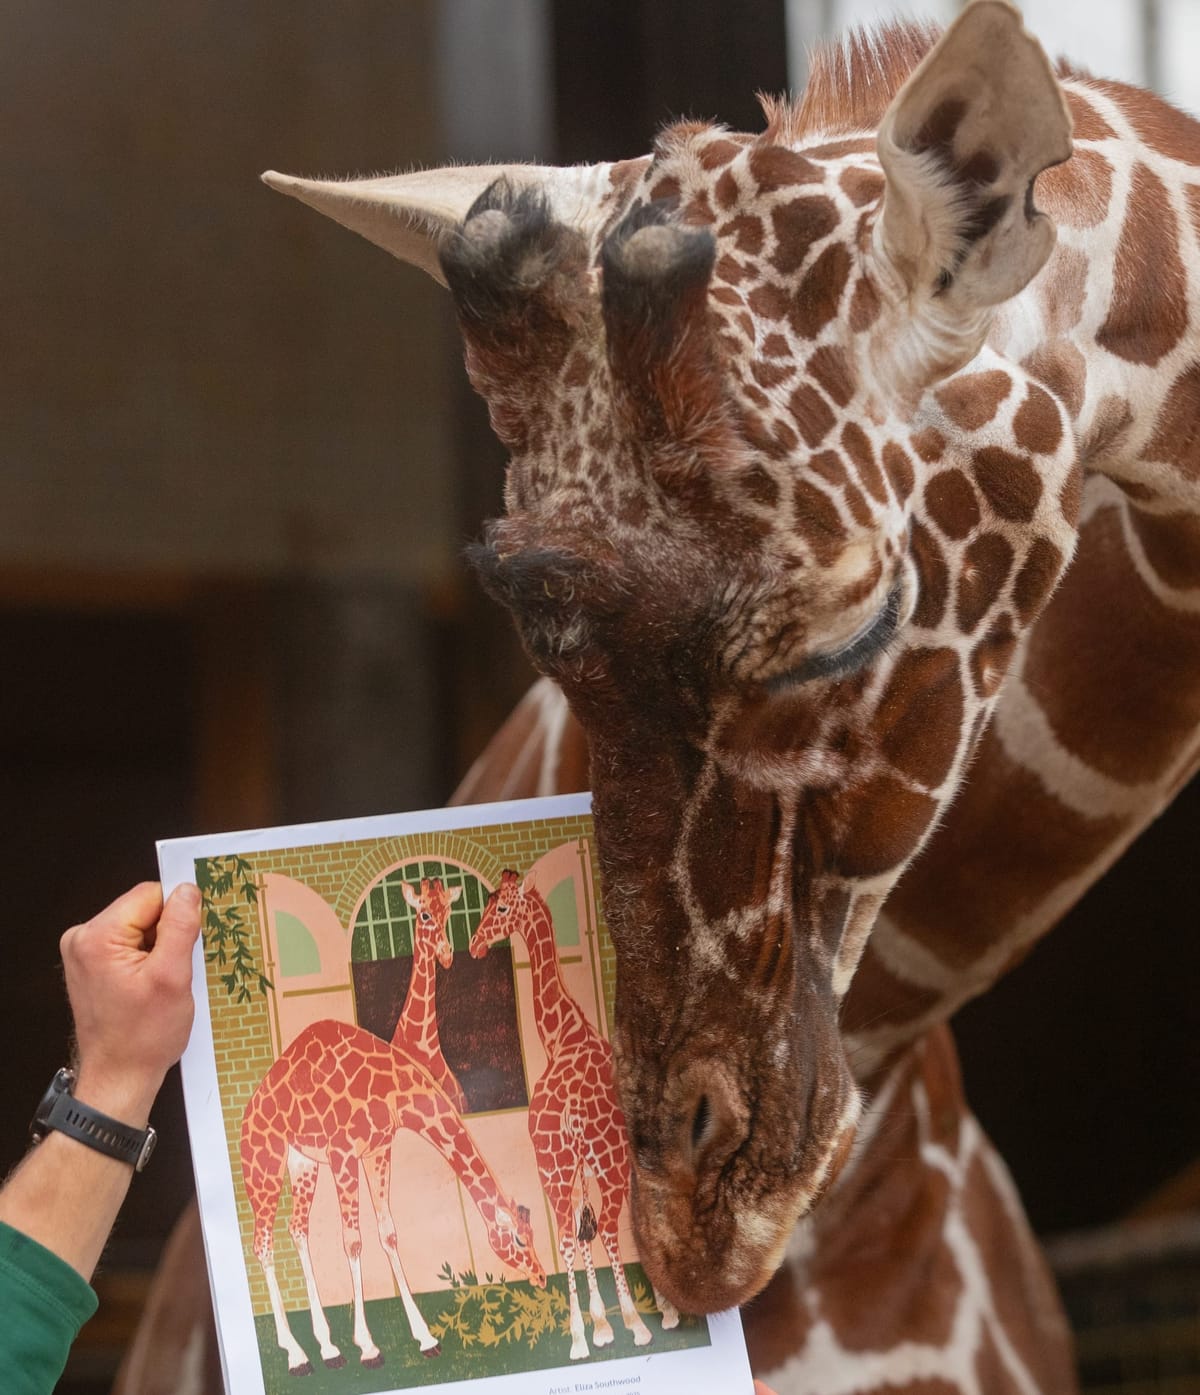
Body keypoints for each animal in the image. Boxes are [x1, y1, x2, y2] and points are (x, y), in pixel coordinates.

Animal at [240, 1016, 546, 1375]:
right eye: (519, 1240)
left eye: (533, 1233)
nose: (541, 1276)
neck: (396, 1090)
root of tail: (248, 1110)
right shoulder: (342, 1153)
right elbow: (352, 1241)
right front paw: (369, 1348)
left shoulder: (378, 1149)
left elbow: (387, 1233)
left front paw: (426, 1339)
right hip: (264, 1165)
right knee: (262, 1243)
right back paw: (296, 1355)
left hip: (302, 1162)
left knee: (297, 1228)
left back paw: (328, 1349)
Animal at [470, 868, 678, 1359]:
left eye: (499, 907)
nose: (475, 945)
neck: (564, 1034)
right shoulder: (613, 1159)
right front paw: (638, 1315)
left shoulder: (577, 1165)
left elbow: (583, 1236)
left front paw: (601, 1324)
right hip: (602, 1162)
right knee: (605, 1229)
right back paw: (637, 1325)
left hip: (554, 1167)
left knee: (570, 1235)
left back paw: (584, 1338)